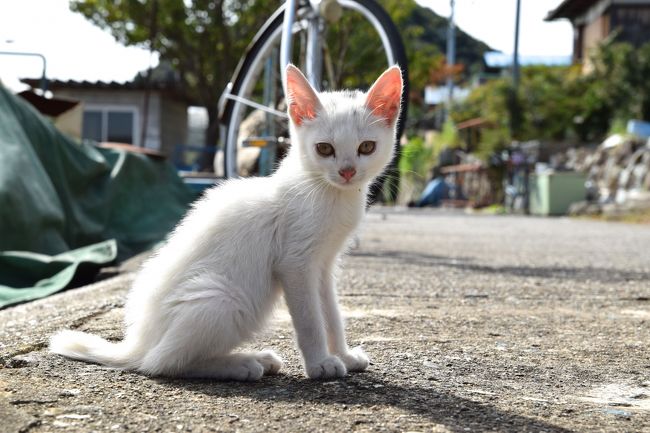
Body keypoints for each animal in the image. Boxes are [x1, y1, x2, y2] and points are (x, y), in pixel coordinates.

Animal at [50, 63, 402, 378]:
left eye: (366, 147)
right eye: (324, 149)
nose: (347, 171)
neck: (326, 191)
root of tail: (137, 342)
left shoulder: (324, 266)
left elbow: (331, 313)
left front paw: (343, 354)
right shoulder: (295, 264)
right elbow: (310, 319)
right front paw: (320, 365)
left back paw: (256, 358)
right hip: (222, 297)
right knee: (161, 364)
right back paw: (242, 365)